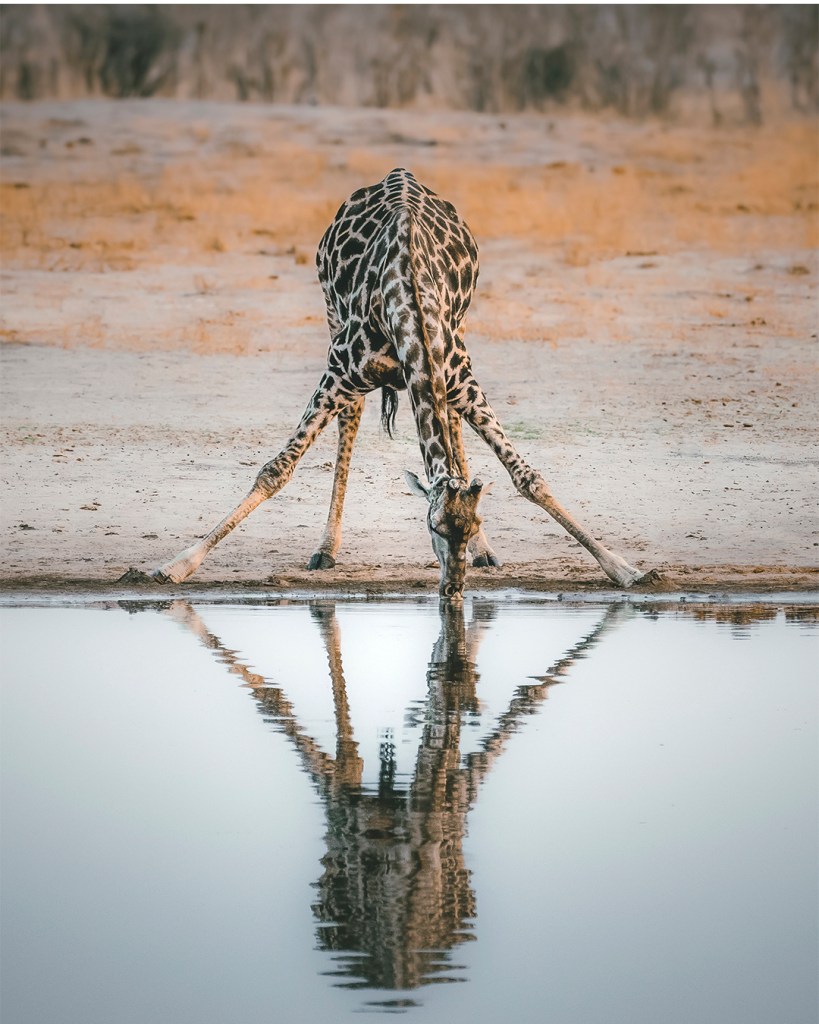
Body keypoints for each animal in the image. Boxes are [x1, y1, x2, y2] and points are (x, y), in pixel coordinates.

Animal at [147, 169, 656, 599]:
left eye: (471, 525)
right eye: (433, 528)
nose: (453, 590)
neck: (406, 300)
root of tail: (398, 173)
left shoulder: (460, 378)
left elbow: (527, 477)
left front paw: (627, 569)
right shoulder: (339, 372)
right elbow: (276, 470)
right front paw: (175, 566)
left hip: (459, 339)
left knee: (452, 427)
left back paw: (487, 554)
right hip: (331, 319)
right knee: (350, 420)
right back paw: (327, 548)